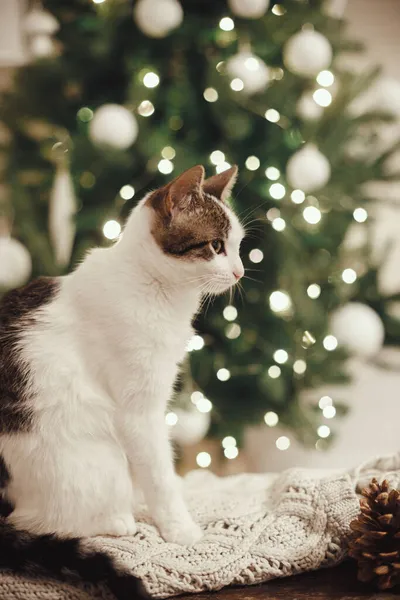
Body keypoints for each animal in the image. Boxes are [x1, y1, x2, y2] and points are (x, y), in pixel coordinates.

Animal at [0, 163, 244, 596]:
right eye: (216, 246)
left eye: (238, 246)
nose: (240, 272)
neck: (158, 290)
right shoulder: (139, 412)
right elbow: (161, 475)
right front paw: (180, 529)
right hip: (91, 460)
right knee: (33, 520)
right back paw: (116, 520)